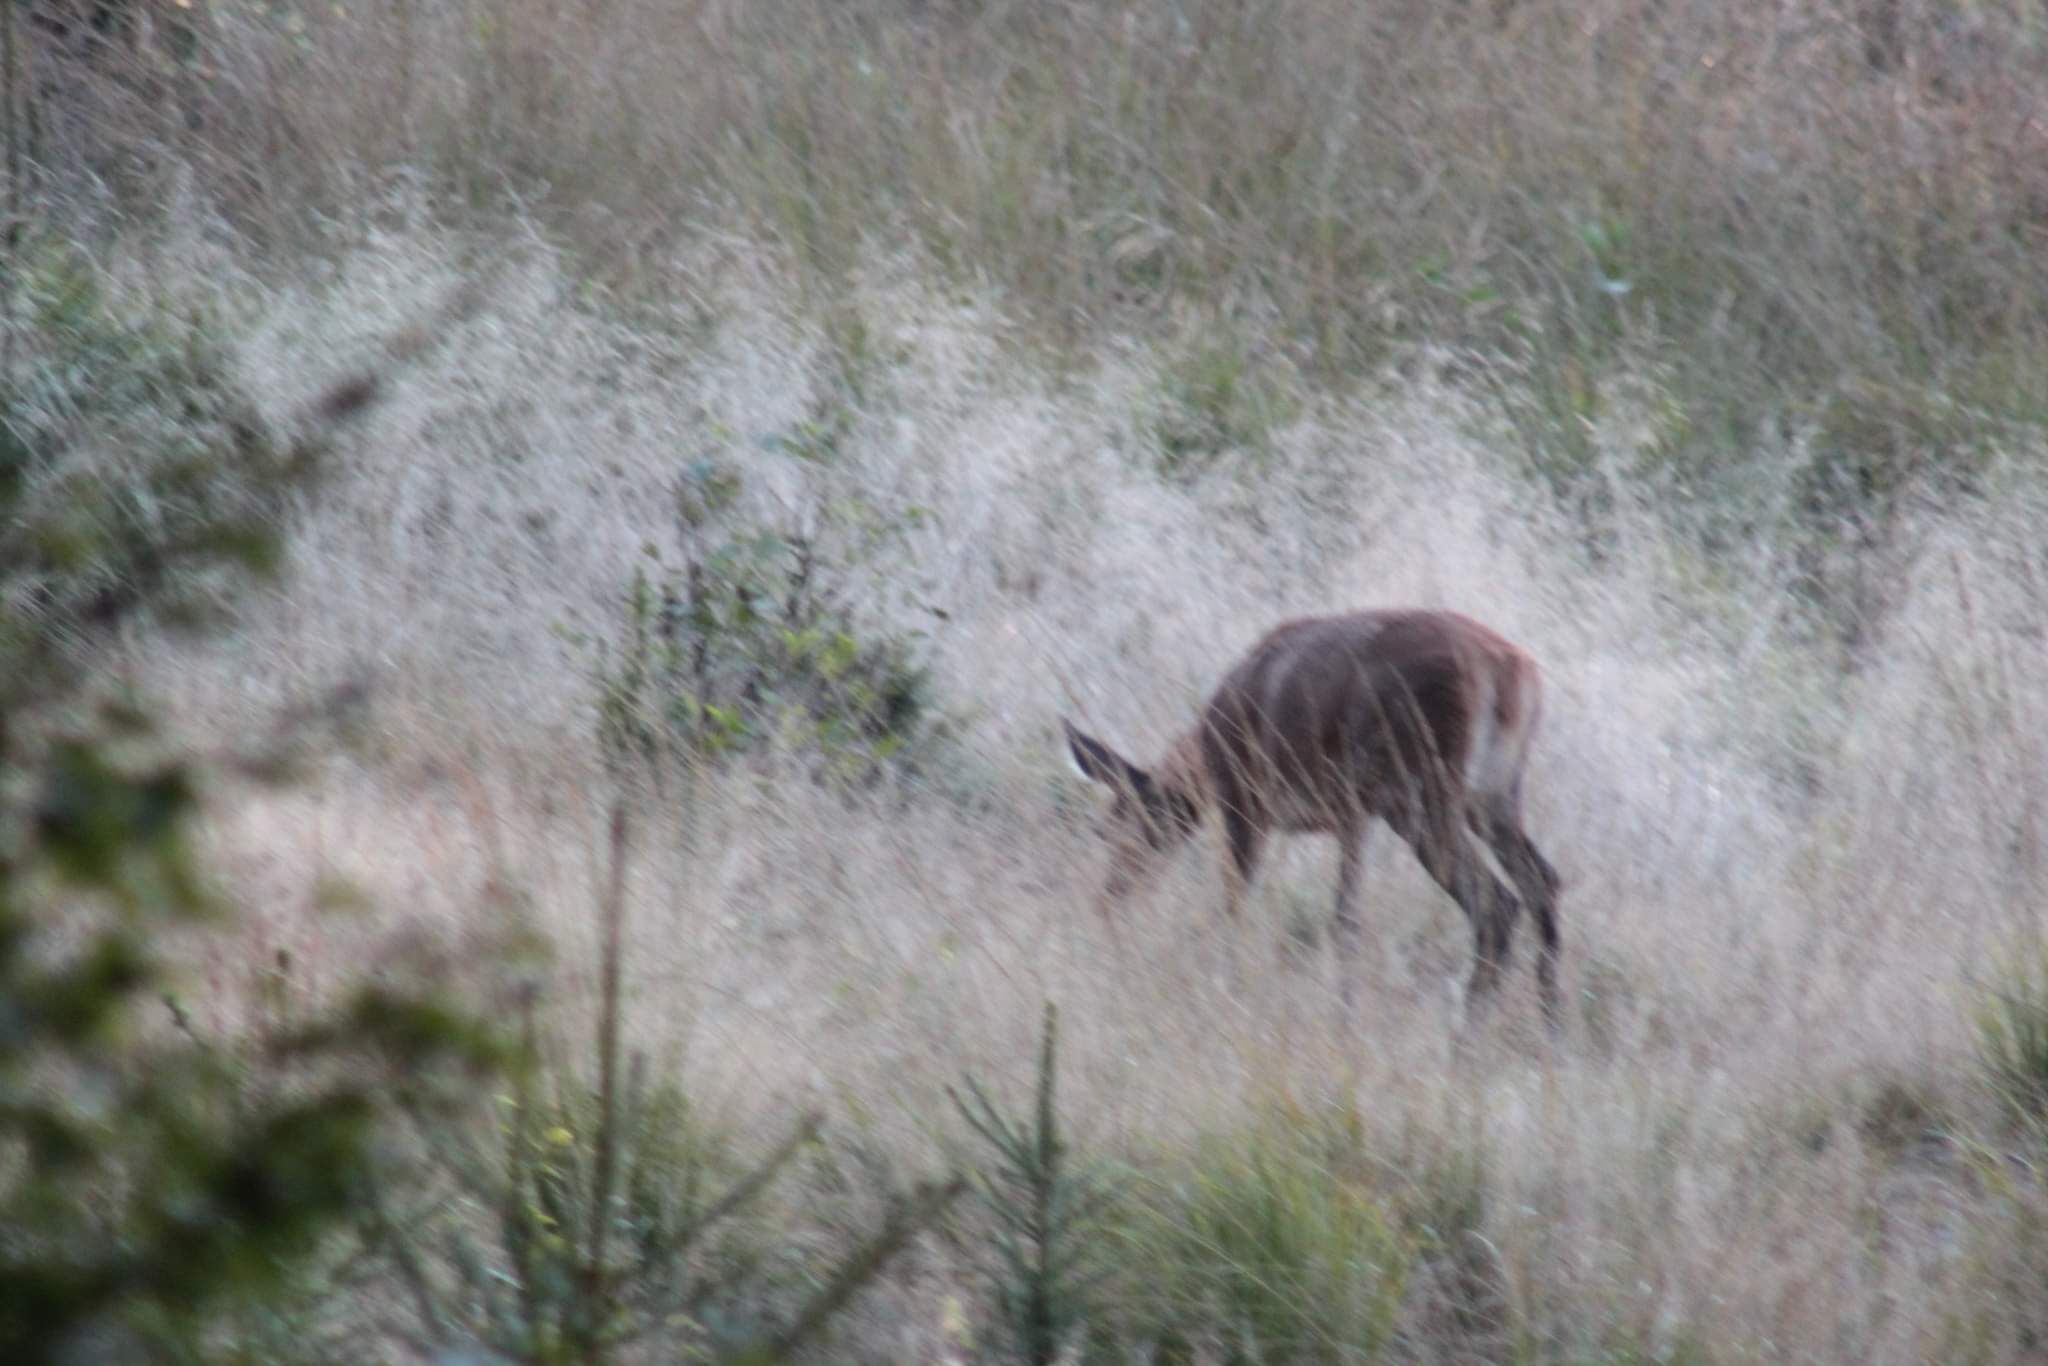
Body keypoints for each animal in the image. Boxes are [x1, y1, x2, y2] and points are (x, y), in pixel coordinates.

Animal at [1062, 608, 1563, 1031]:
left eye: (1116, 826)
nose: (1107, 900)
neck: (1206, 753)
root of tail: (1515, 675)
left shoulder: (1249, 803)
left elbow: (1241, 906)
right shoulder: (1352, 815)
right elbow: (1345, 917)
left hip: (1423, 794)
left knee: (1497, 903)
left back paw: (1465, 1041)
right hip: (1491, 796)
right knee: (1542, 882)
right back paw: (1547, 1035)